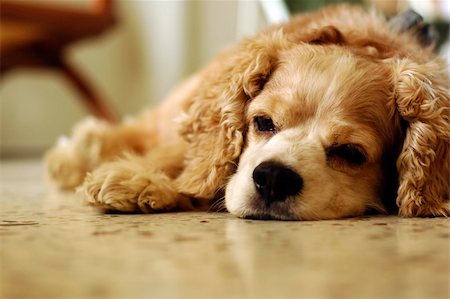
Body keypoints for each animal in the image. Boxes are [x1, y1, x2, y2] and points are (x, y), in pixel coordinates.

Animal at [46, 4, 450, 220]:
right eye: (263, 123)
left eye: (351, 153)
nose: (273, 177)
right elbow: (183, 156)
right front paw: (141, 179)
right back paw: (79, 151)